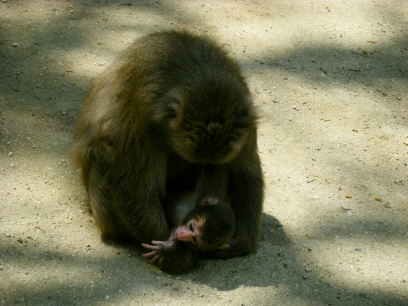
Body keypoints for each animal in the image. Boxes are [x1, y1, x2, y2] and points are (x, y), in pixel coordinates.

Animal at [73, 29, 264, 272]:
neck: (200, 73)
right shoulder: (141, 108)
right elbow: (130, 184)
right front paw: (176, 252)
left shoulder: (245, 115)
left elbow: (245, 171)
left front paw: (241, 240)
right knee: (104, 156)